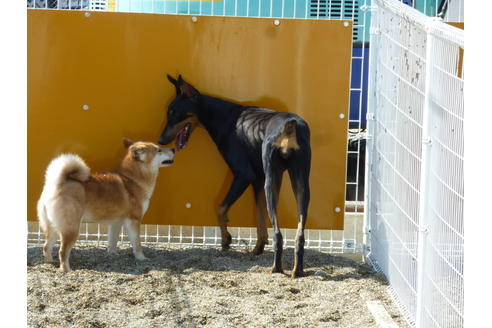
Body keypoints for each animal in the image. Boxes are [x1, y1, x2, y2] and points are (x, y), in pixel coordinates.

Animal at [37, 138, 175, 272]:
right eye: (159, 150)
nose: (173, 149)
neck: (133, 179)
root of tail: (56, 184)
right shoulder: (133, 220)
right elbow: (137, 243)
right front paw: (141, 258)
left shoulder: (116, 223)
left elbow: (112, 241)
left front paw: (112, 255)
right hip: (71, 228)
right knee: (62, 251)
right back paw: (67, 270)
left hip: (54, 226)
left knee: (46, 246)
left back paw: (49, 262)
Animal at [159, 75, 312, 278]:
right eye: (169, 112)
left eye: (175, 113)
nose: (160, 140)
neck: (224, 117)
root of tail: (289, 127)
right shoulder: (258, 179)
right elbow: (260, 216)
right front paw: (257, 248)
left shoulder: (244, 174)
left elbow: (220, 208)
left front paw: (226, 240)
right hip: (299, 183)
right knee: (299, 233)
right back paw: (297, 270)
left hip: (272, 181)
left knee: (278, 234)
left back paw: (276, 268)